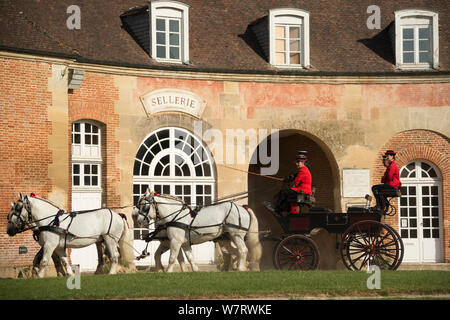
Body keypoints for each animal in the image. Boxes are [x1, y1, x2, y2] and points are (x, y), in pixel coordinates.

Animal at [132, 190, 262, 272]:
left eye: (145, 207)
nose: (138, 221)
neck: (175, 216)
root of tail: (243, 208)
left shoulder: (175, 241)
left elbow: (172, 258)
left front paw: (168, 272)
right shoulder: (184, 243)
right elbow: (189, 258)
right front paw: (194, 271)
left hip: (236, 235)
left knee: (243, 250)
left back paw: (241, 268)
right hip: (226, 238)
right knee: (234, 252)